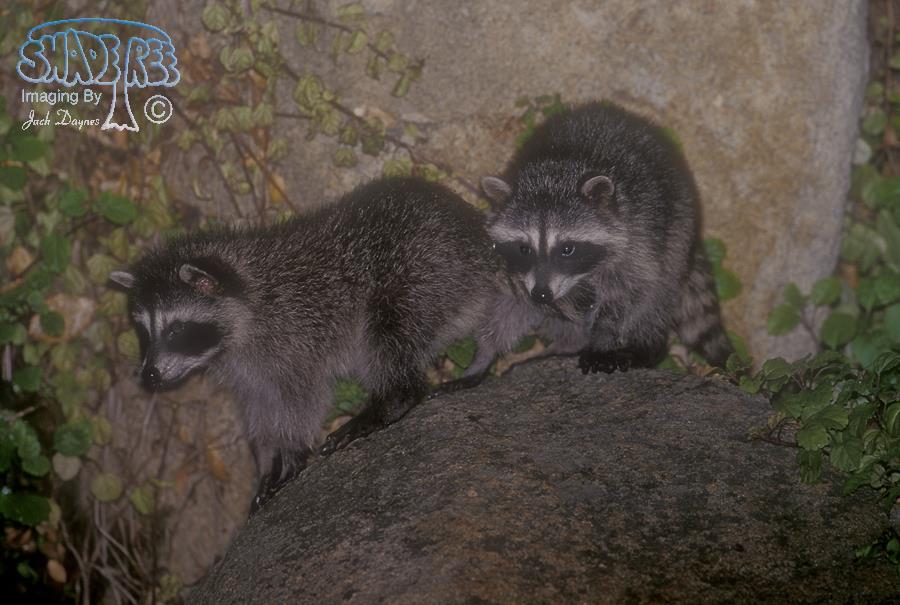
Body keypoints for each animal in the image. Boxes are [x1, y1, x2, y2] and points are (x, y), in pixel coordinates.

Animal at [110, 177, 501, 512]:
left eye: (176, 331)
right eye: (144, 332)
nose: (150, 376)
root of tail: (479, 238)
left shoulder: (295, 339)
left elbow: (303, 400)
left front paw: (292, 451)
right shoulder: (248, 370)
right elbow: (260, 408)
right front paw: (268, 459)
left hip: (423, 273)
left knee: (389, 334)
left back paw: (390, 400)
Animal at [466, 102, 733, 377]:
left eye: (567, 249)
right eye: (524, 248)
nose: (541, 295)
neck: (553, 174)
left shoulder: (638, 237)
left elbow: (627, 295)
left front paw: (602, 340)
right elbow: (514, 303)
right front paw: (485, 356)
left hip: (676, 228)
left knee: (658, 291)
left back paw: (646, 347)